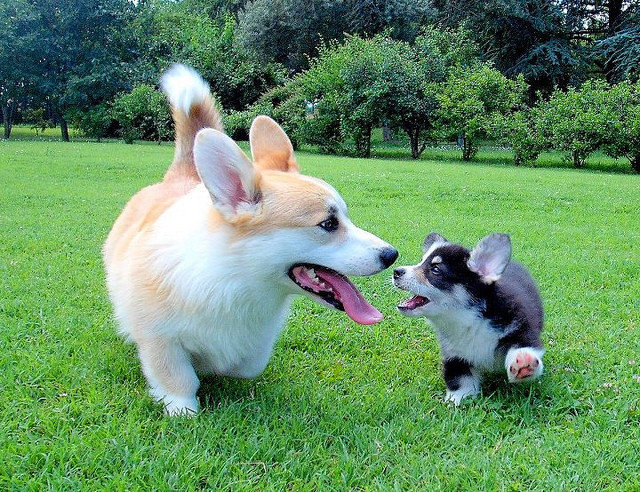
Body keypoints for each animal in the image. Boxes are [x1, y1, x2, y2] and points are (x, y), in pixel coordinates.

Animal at [103, 65, 398, 416]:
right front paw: (182, 408)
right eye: (328, 224)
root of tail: (183, 176)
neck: (237, 275)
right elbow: (178, 378)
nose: (392, 255)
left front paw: (216, 366)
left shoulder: (258, 341)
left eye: (346, 217)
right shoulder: (160, 337)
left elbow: (246, 365)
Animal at [392, 233, 544, 406]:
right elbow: (460, 380)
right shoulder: (455, 356)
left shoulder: (520, 326)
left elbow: (523, 345)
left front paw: (524, 363)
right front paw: (456, 400)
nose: (396, 271)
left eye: (435, 269)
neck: (469, 319)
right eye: (421, 261)